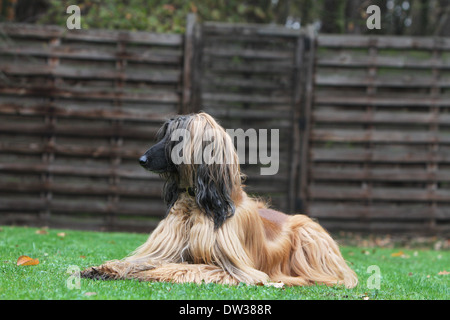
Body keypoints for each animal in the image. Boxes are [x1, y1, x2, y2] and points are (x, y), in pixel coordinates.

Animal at [79, 112, 356, 288]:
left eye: (177, 139)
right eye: (164, 136)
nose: (141, 160)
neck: (196, 203)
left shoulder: (238, 269)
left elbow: (186, 267)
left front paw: (151, 273)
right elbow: (138, 261)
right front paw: (105, 268)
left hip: (309, 236)